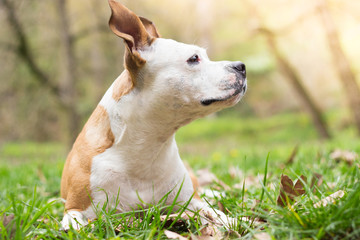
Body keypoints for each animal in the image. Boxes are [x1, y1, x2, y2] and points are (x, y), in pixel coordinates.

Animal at [61, 0, 248, 231]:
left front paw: (234, 220)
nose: (242, 66)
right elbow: (81, 225)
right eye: (194, 58)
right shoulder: (75, 210)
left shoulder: (190, 201)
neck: (145, 147)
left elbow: (214, 211)